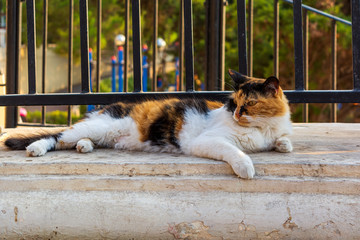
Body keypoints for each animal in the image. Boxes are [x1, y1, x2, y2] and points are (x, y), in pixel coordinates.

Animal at [4, 69, 294, 178]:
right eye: (234, 103)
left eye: (250, 104)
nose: (235, 114)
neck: (262, 128)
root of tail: (106, 108)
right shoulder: (209, 140)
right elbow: (236, 152)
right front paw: (246, 167)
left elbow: (283, 141)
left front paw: (283, 145)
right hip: (98, 126)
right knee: (57, 136)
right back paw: (36, 149)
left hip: (101, 133)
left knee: (74, 140)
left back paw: (84, 147)